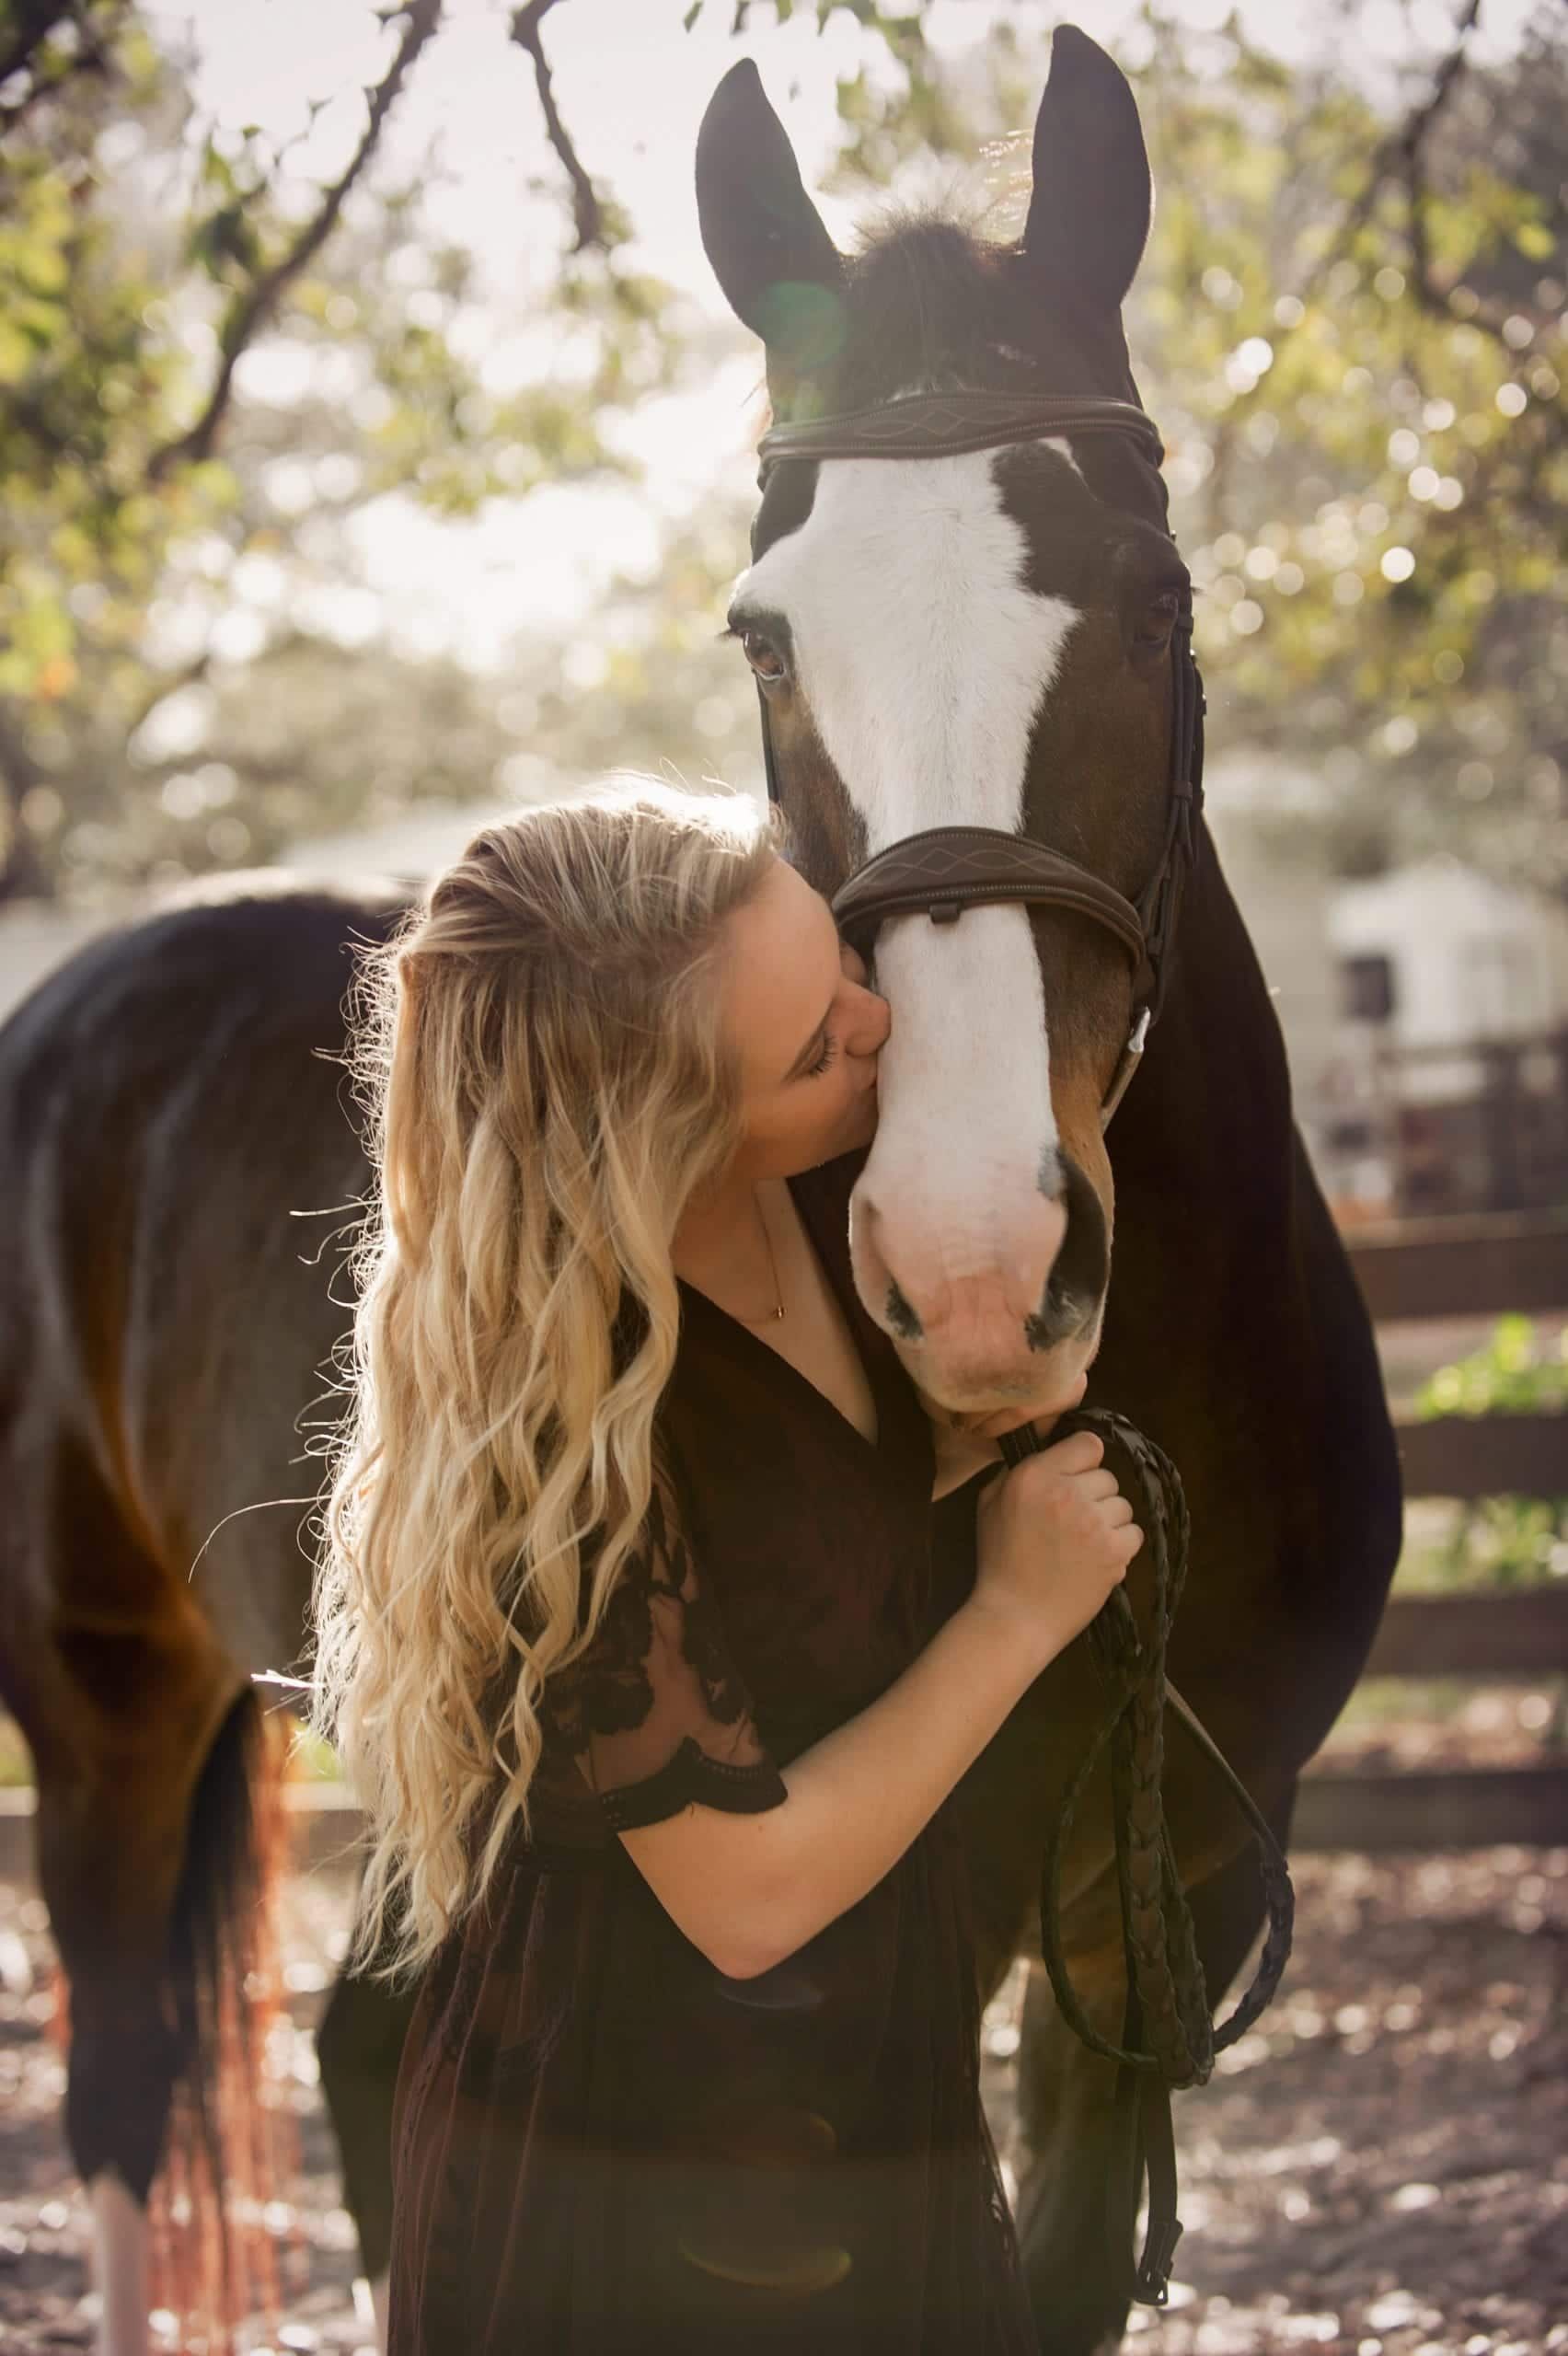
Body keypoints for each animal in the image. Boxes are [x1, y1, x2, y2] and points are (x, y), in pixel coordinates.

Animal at [0, 26, 1401, 2356]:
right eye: (762, 633)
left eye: (1156, 597)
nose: (977, 1262)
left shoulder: (1151, 1931)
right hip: (98, 1697)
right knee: (120, 2092)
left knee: (368, 2052)